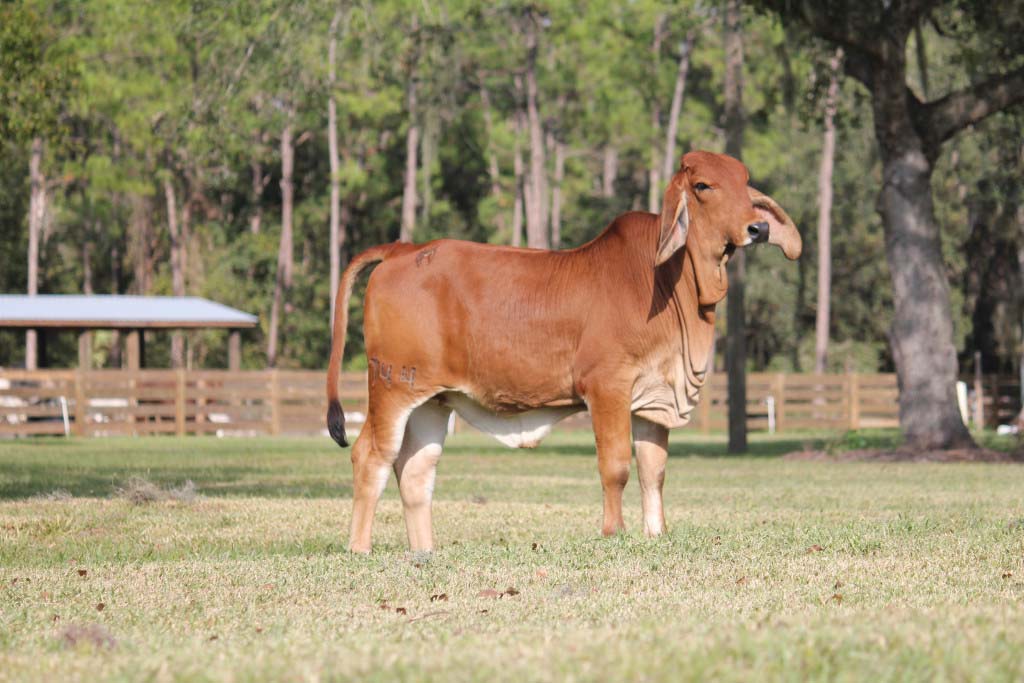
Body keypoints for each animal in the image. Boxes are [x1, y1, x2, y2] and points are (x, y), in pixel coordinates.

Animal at [321, 148, 798, 548]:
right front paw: (614, 531)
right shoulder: (608, 387)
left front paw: (656, 532)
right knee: (371, 456)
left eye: (744, 181)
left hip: (433, 402)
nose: (758, 228)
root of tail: (402, 249)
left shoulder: (654, 397)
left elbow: (654, 470)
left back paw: (425, 551)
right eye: (702, 185)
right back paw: (360, 549)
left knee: (415, 471)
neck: (670, 281)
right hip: (393, 387)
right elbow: (616, 466)